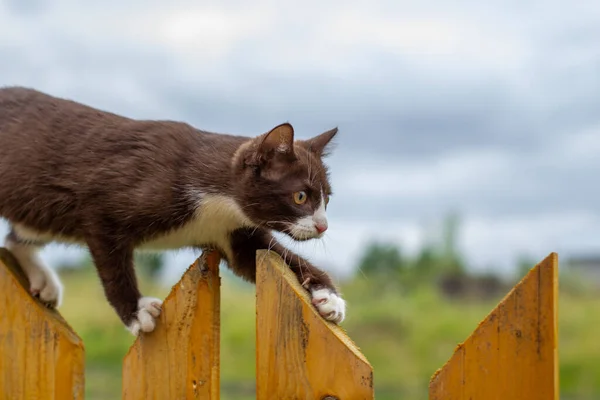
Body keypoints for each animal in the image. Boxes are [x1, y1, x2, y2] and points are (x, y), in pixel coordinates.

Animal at [0, 86, 344, 334]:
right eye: (300, 196)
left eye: (326, 198)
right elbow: (112, 264)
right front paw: (136, 311)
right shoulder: (100, 204)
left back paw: (41, 278)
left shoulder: (232, 231)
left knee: (19, 236)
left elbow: (270, 258)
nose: (323, 226)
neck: (216, 204)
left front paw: (330, 298)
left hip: (39, 210)